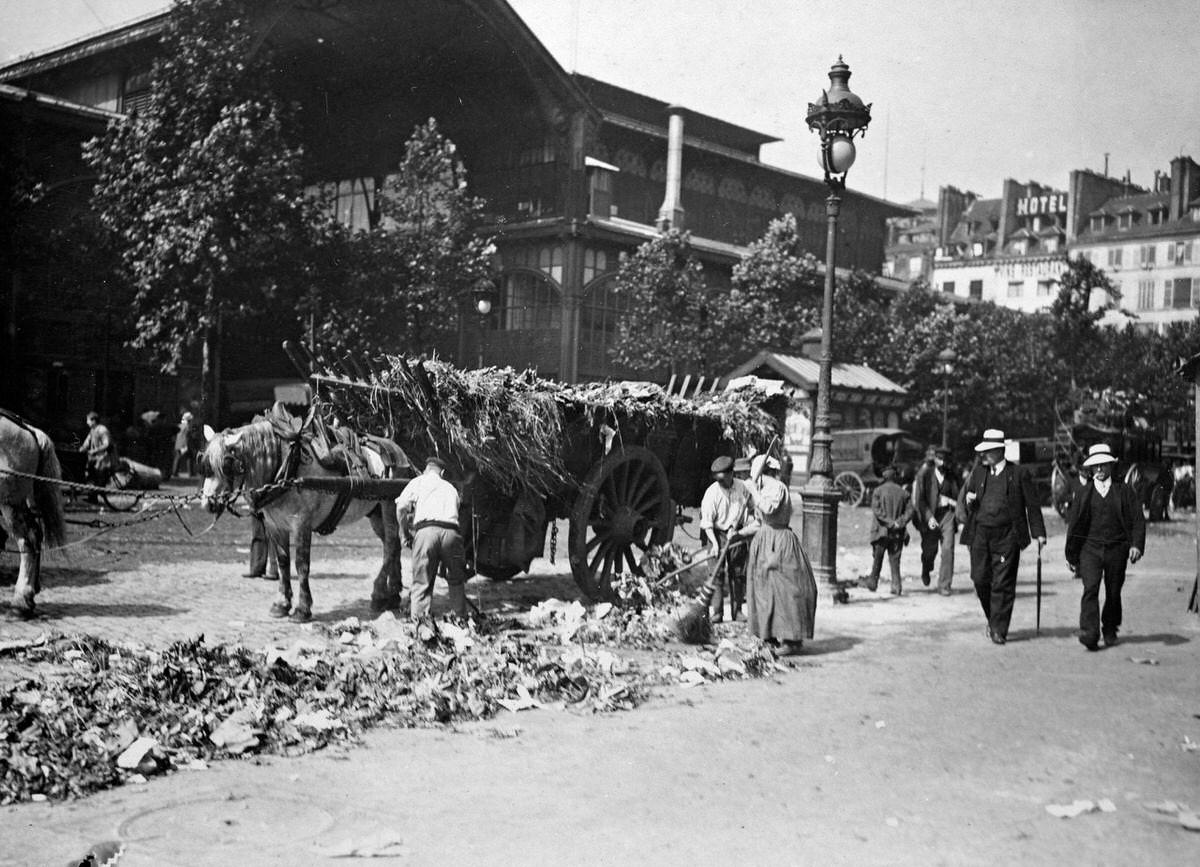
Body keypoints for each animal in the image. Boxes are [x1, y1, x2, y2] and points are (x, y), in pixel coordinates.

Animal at [201, 413, 412, 619]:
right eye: (204, 465)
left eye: (227, 465)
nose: (208, 503)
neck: (287, 465)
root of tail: (399, 451)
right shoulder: (275, 524)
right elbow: (283, 562)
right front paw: (282, 603)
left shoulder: (301, 523)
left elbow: (301, 564)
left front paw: (303, 608)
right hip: (375, 512)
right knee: (392, 544)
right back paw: (393, 594)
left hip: (389, 506)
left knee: (391, 544)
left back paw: (379, 593)